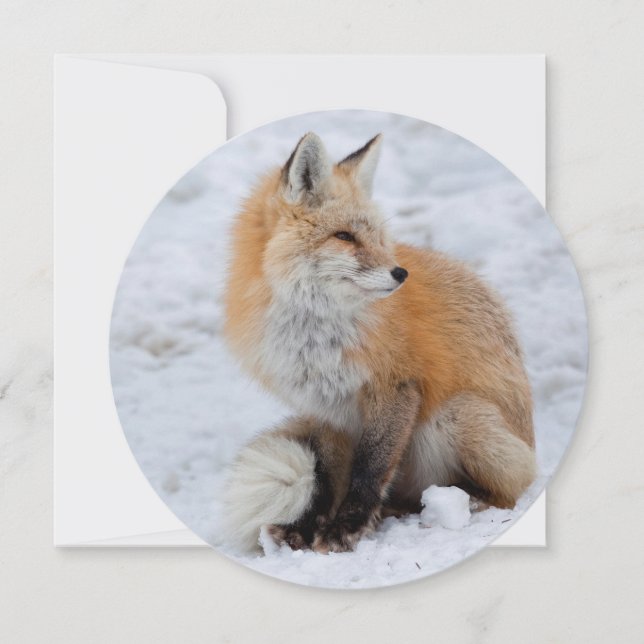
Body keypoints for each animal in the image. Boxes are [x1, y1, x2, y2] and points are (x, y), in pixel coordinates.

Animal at [222, 132, 536, 554]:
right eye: (344, 236)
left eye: (377, 238)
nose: (400, 273)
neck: (316, 337)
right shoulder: (323, 408)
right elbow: (325, 478)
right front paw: (306, 528)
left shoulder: (396, 385)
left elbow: (370, 468)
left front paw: (345, 528)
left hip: (458, 415)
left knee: (509, 492)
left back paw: (458, 503)